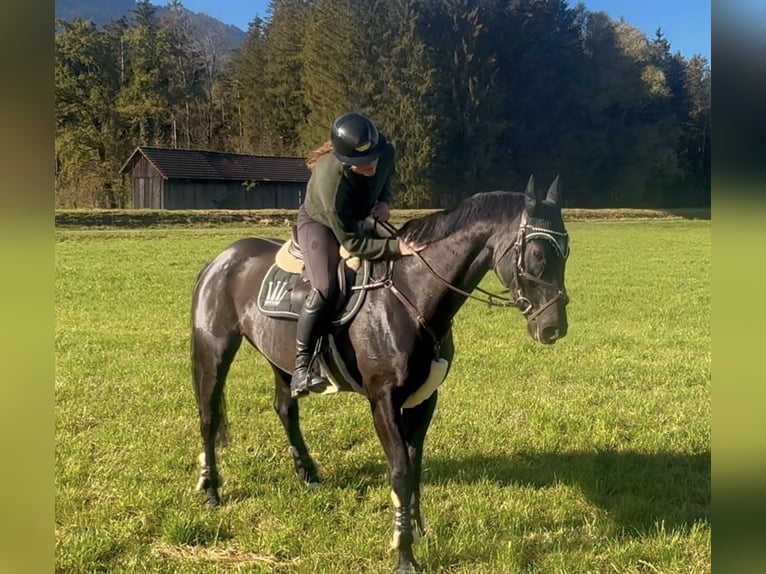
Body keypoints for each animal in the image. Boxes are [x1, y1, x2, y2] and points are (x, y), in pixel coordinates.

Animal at [189, 177, 568, 574]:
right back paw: (211, 490)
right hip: (213, 351)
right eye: (537, 255)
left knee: (285, 409)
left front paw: (417, 529)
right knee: (208, 418)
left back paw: (308, 474)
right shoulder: (383, 400)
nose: (553, 328)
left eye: (567, 250)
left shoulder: (424, 399)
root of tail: (222, 259)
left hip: (281, 360)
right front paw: (404, 552)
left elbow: (415, 464)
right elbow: (400, 470)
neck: (411, 296)